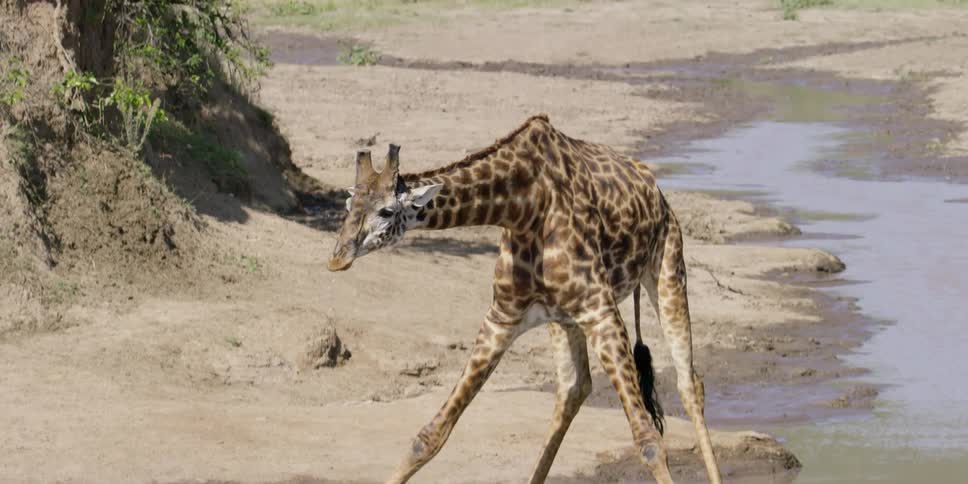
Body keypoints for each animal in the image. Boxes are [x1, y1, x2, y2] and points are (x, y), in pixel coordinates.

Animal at [328, 115, 722, 484]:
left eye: (386, 211)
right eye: (348, 205)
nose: (337, 258)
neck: (524, 206)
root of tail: (657, 191)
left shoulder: (600, 312)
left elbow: (649, 443)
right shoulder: (502, 317)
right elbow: (428, 436)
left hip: (668, 271)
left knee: (690, 384)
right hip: (563, 320)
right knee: (573, 389)